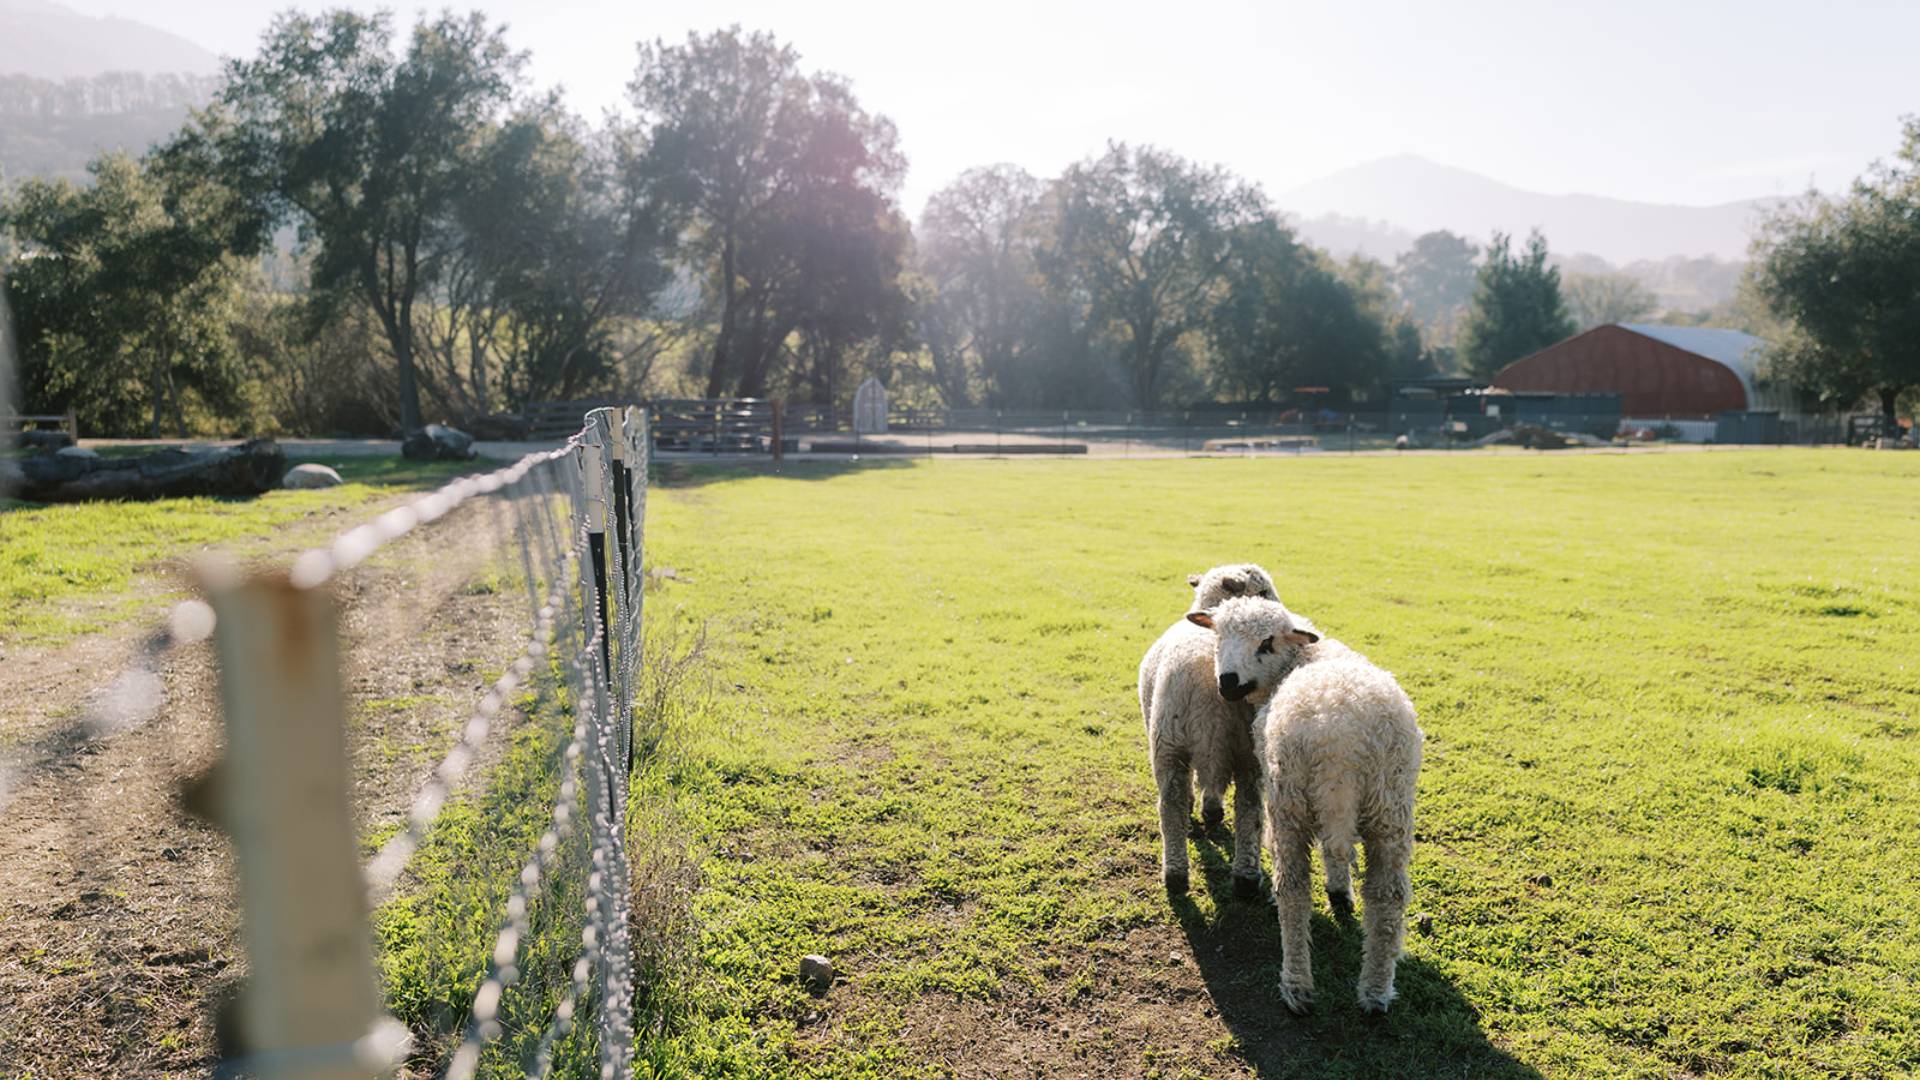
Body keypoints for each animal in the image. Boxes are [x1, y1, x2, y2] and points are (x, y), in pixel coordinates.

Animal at [1136, 563, 1280, 898]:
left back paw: (1177, 873)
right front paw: (1210, 810)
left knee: (1172, 805)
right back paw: (1245, 878)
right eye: (1263, 592)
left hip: (1169, 742)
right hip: (1246, 750)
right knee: (1250, 810)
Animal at [1187, 596, 1422, 1015]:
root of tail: (1341, 742)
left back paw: (1296, 985)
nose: (1227, 682)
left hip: (1290, 802)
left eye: (1266, 643)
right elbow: (1337, 856)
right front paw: (1340, 890)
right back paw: (1375, 993)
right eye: (1218, 636)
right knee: (1388, 897)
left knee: (1294, 892)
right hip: (1390, 807)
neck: (1301, 658)